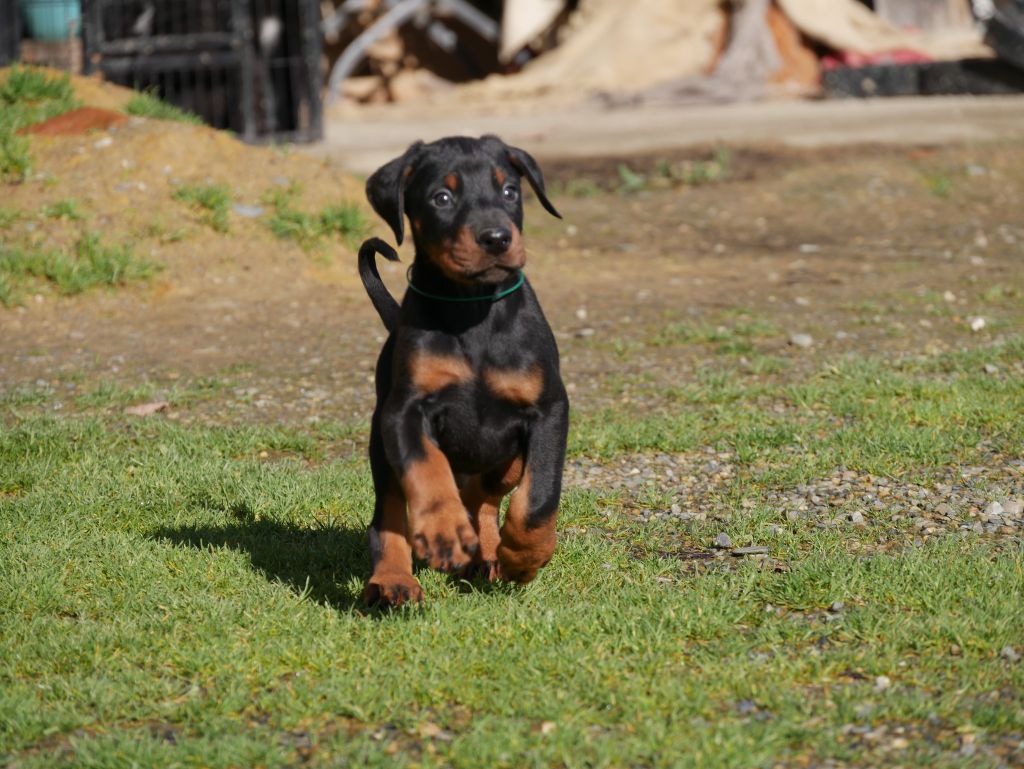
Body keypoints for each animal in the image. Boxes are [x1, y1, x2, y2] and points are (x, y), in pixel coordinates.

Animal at [358, 134, 569, 606]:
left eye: (509, 191)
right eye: (442, 197)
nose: (496, 238)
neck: (472, 309)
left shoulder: (548, 410)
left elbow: (539, 498)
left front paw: (523, 557)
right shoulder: (405, 411)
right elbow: (427, 468)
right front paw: (442, 530)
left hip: (509, 456)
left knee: (482, 495)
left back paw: (488, 553)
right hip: (381, 443)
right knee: (390, 513)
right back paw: (394, 578)